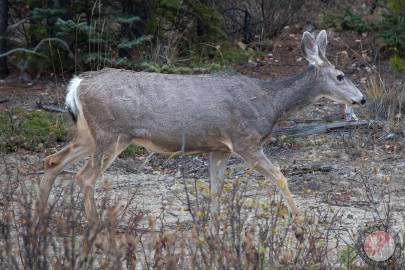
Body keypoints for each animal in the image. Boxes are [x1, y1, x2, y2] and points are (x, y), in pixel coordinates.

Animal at [37, 30, 366, 239]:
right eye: (340, 76)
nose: (361, 99)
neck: (270, 103)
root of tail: (77, 84)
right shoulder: (245, 141)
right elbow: (280, 177)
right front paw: (300, 230)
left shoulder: (219, 148)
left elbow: (216, 188)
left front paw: (212, 230)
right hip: (112, 133)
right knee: (84, 177)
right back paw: (96, 227)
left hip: (89, 133)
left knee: (52, 160)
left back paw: (42, 218)